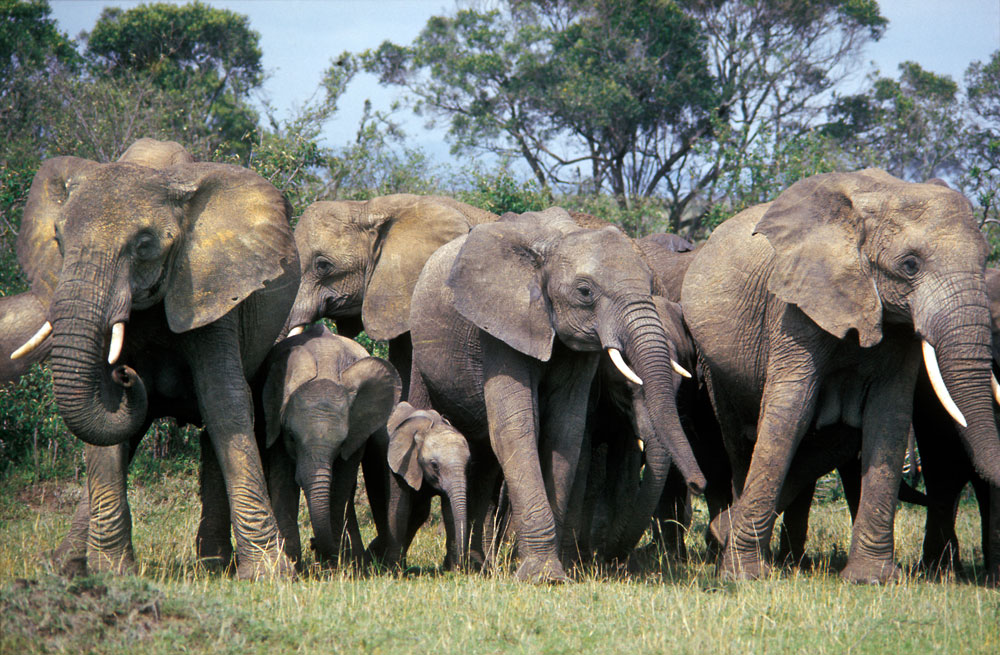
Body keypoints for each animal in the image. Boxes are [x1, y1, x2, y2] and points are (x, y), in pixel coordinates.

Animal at [15, 137, 300, 580]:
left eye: (145, 244)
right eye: (58, 240)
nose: (125, 374)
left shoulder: (210, 290)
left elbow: (225, 404)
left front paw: (269, 576)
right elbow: (104, 424)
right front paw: (113, 573)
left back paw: (214, 567)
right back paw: (66, 566)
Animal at [257, 324, 400, 567]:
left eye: (341, 443)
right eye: (292, 437)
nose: (313, 543)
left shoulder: (356, 433)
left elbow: (341, 482)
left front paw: (332, 565)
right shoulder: (276, 425)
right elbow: (283, 481)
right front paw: (293, 563)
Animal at [382, 401, 472, 569]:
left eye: (468, 465)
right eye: (434, 465)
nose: (462, 565)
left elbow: (449, 512)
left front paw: (453, 571)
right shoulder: (399, 462)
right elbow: (400, 509)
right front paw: (393, 570)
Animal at [408, 207, 706, 582]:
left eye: (651, 286)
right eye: (585, 291)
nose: (698, 485)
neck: (553, 244)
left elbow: (566, 430)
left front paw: (553, 571)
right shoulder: (499, 327)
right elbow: (517, 426)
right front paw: (543, 577)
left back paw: (477, 565)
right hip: (420, 357)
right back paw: (462, 567)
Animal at [681, 168, 1000, 583]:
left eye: (984, 260)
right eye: (910, 265)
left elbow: (888, 417)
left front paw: (871, 579)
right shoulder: (794, 305)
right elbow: (790, 413)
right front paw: (744, 577)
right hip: (717, 366)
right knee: (738, 441)